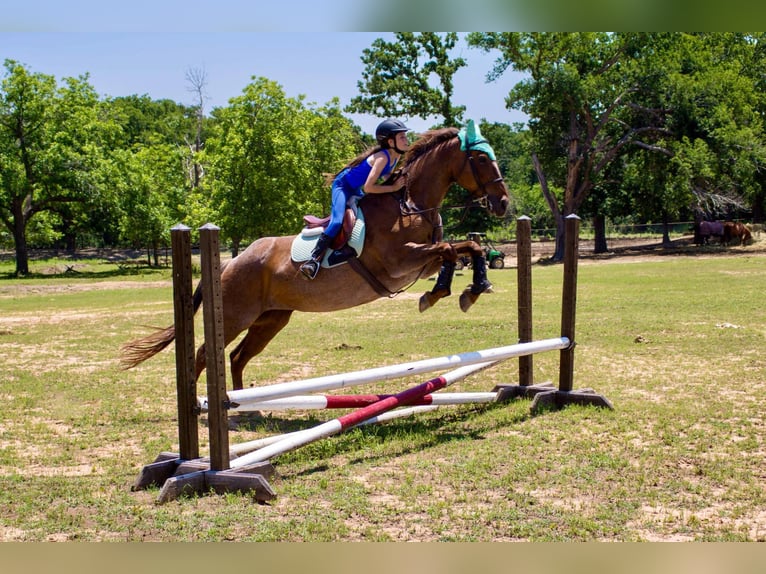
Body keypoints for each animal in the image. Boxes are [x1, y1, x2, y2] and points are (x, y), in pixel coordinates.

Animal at [121, 121, 510, 390]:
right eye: (480, 158)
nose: (503, 203)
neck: (409, 203)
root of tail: (228, 264)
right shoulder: (399, 263)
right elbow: (450, 249)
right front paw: (446, 293)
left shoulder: (420, 263)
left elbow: (464, 249)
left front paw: (468, 290)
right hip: (234, 315)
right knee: (206, 355)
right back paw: (205, 407)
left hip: (271, 319)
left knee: (237, 356)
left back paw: (242, 406)